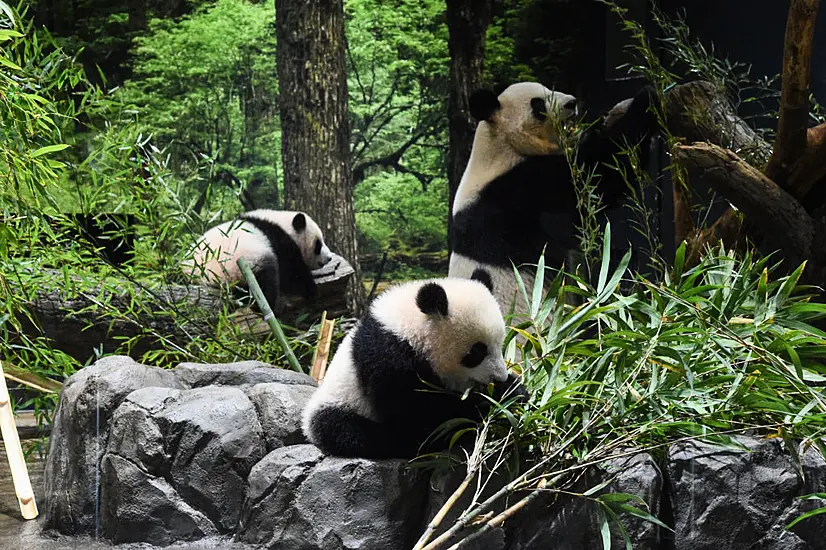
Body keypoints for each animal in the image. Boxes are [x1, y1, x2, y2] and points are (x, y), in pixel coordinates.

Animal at [184, 209, 332, 310]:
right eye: (318, 245)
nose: (329, 258)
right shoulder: (278, 242)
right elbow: (292, 269)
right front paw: (311, 290)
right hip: (244, 264)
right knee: (265, 281)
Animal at [300, 272, 520, 462]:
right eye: (477, 352)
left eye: (500, 344)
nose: (499, 377)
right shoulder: (389, 359)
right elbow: (419, 415)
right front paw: (494, 399)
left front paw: (510, 388)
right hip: (339, 405)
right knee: (351, 431)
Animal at [448, 82, 652, 314]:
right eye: (538, 104)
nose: (571, 103)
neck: (501, 146)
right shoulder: (514, 193)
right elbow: (596, 177)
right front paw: (645, 98)